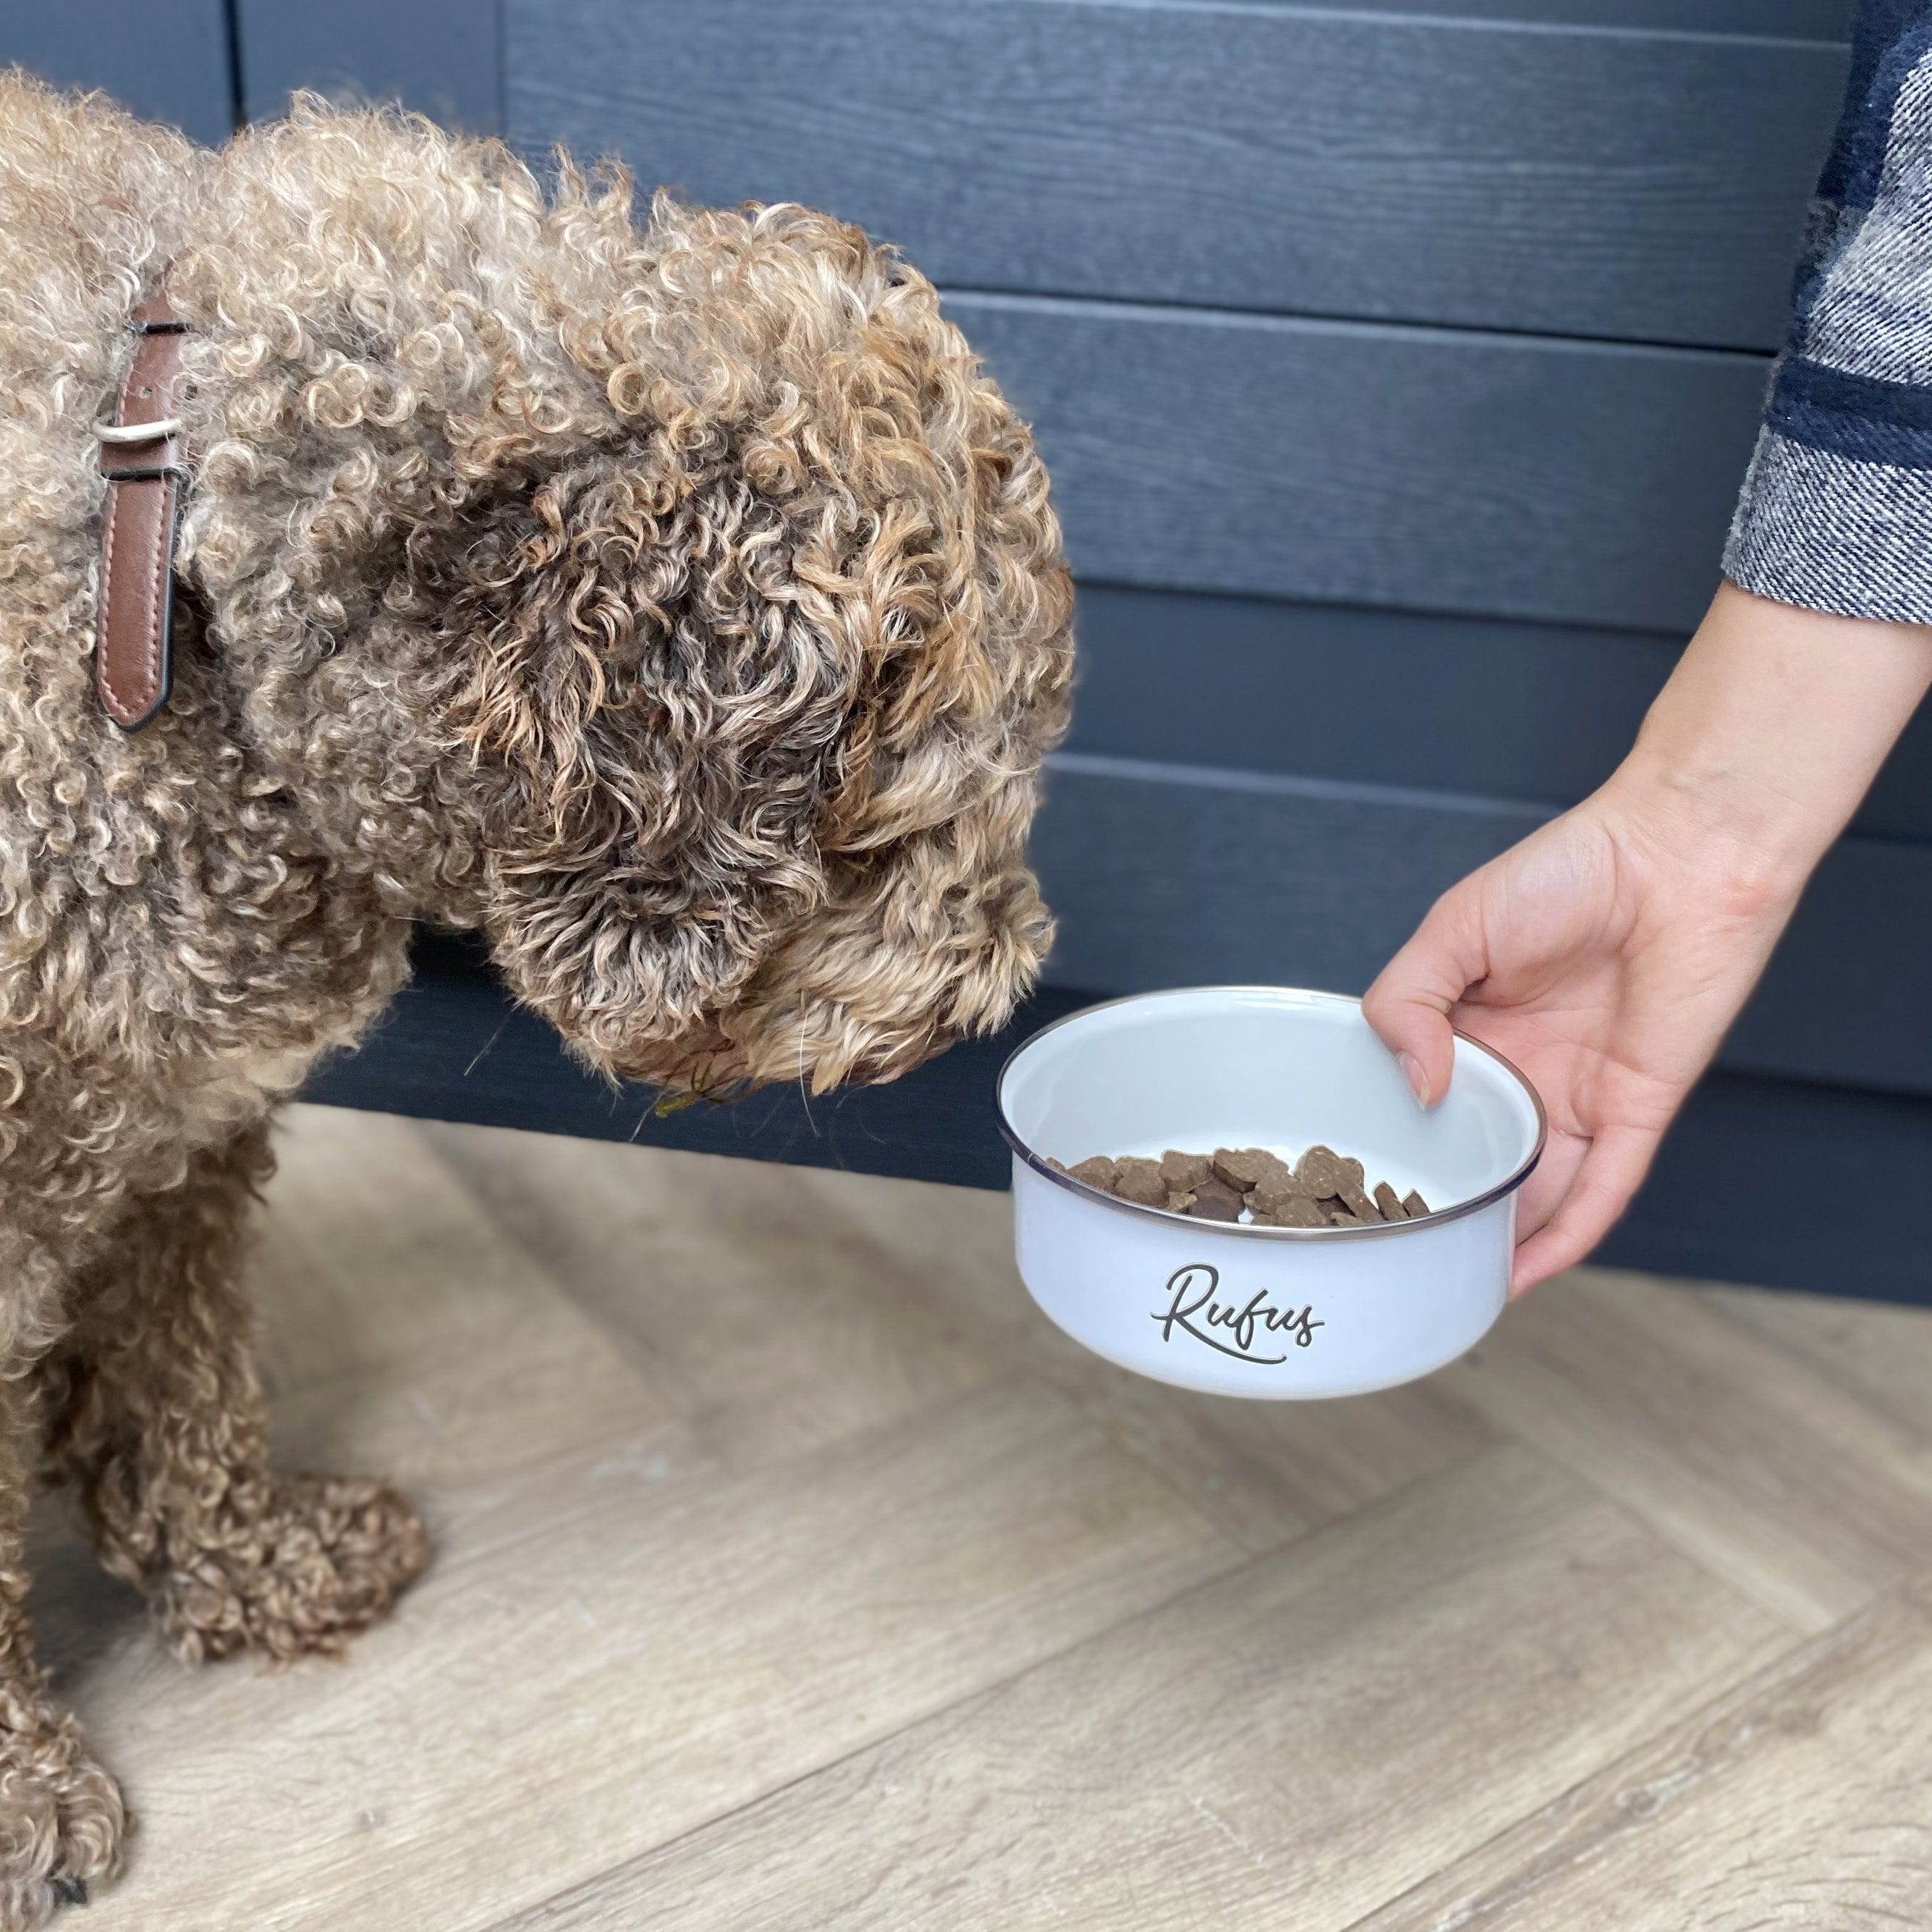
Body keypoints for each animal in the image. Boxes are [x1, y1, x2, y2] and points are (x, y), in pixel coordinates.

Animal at [0, 71, 1074, 1916]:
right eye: (897, 828)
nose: (994, 1000)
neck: (166, 575)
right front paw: (17, 1795)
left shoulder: (181, 1143)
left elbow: (190, 1383)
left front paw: (252, 1566)